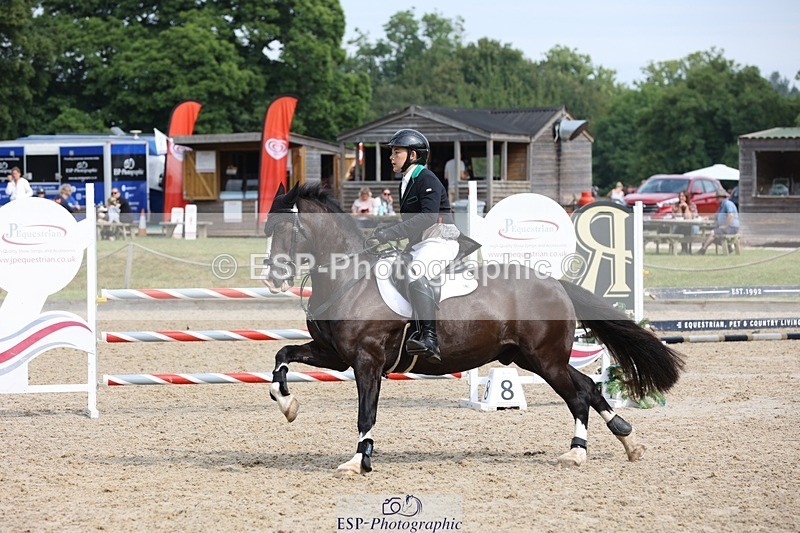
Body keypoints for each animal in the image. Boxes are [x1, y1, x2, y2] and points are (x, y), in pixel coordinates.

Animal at [261, 183, 684, 476]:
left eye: (287, 230)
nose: (273, 279)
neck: (349, 277)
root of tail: (555, 283)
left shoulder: (368, 361)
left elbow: (367, 414)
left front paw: (358, 461)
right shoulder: (336, 355)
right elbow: (282, 357)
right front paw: (288, 405)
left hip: (545, 360)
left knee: (578, 395)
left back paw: (579, 451)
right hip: (530, 358)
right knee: (589, 387)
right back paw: (627, 440)